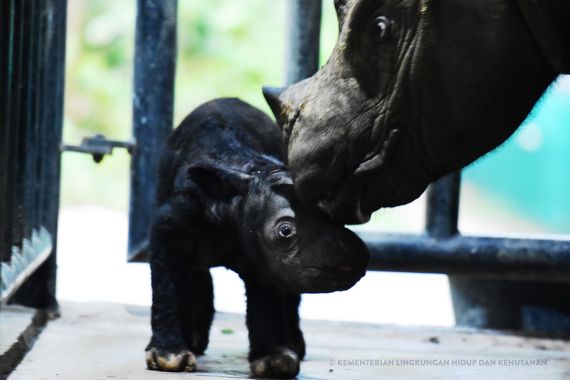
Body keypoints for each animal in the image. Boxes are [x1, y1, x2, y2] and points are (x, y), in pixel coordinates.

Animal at [146, 98, 368, 378]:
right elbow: (166, 282)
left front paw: (274, 362)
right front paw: (169, 358)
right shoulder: (169, 224)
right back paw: (194, 341)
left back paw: (294, 346)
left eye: (339, 219)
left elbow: (267, 291)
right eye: (285, 231)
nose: (358, 257)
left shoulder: (265, 255)